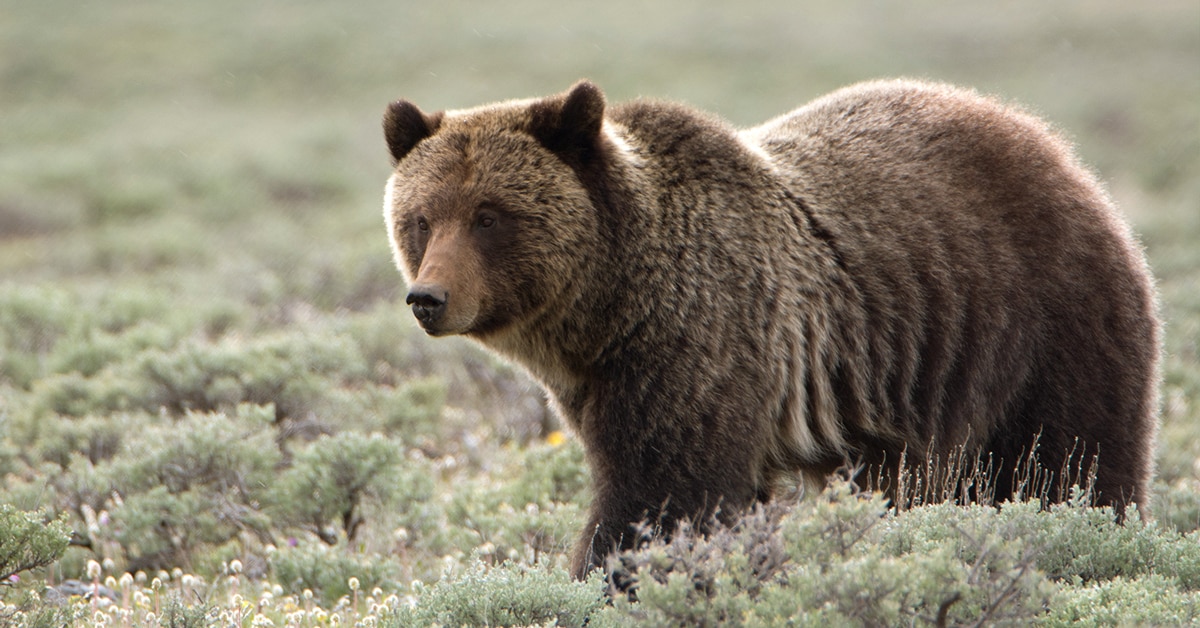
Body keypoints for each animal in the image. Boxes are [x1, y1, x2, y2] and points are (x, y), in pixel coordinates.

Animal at [379, 78, 1156, 581]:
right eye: (421, 218)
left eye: (489, 215)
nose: (428, 297)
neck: (609, 308)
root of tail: (1058, 151)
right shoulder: (602, 382)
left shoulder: (702, 343)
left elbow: (661, 498)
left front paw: (610, 577)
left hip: (1044, 318)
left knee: (1071, 460)